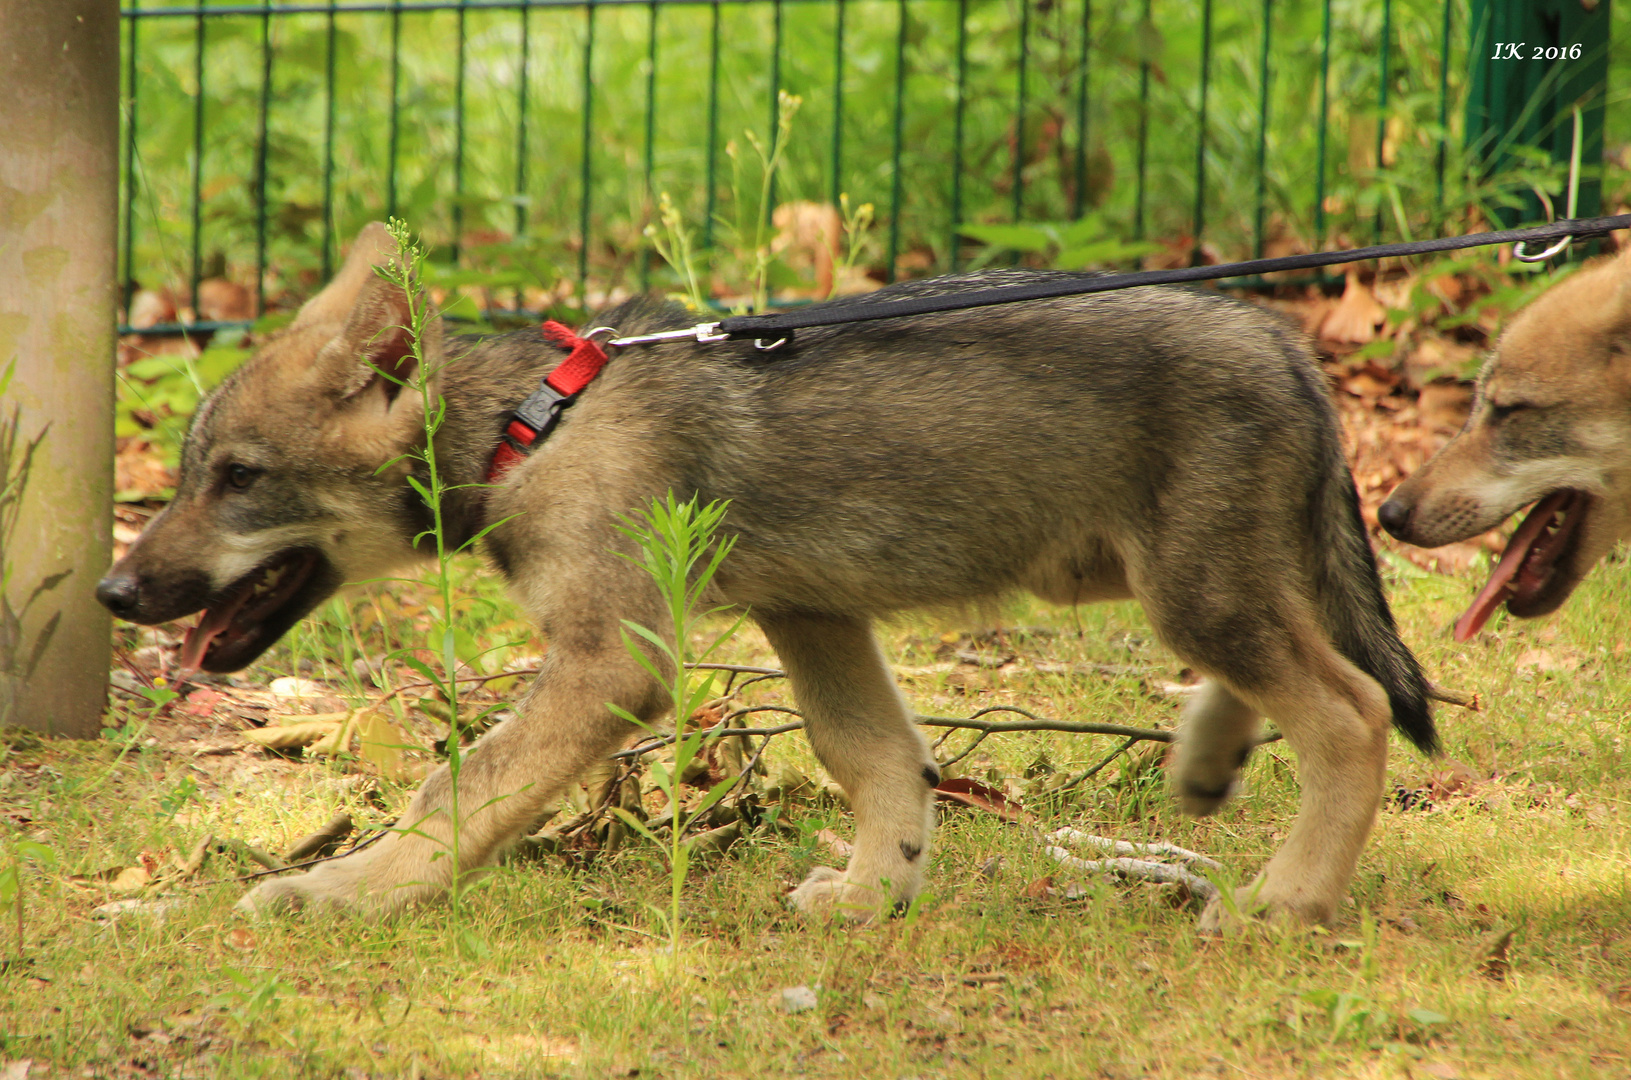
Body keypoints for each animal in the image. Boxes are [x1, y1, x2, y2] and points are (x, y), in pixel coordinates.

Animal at [98, 226, 1428, 933]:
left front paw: (342, 892)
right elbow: (880, 762)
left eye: (236, 478)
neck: (535, 426)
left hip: (1185, 589)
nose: (114, 598)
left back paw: (1287, 899)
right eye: (189, 475)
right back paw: (1209, 759)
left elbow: (452, 793)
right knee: (1298, 673)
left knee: (1350, 711)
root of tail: (1285, 343)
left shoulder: (611, 663)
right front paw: (872, 897)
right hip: (1159, 579)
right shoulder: (812, 614)